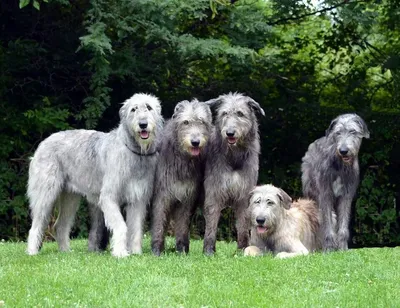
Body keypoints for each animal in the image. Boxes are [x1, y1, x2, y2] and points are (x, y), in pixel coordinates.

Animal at [26, 93, 162, 258]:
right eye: (133, 109)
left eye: (149, 107)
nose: (143, 124)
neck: (135, 151)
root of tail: (43, 142)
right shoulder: (109, 197)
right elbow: (121, 225)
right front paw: (120, 253)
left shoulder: (138, 199)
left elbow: (135, 228)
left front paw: (136, 253)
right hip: (46, 193)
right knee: (36, 224)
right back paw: (32, 252)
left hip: (70, 197)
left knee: (61, 225)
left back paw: (65, 252)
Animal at [150, 100, 212, 256]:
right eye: (186, 122)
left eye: (202, 122)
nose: (195, 142)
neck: (182, 160)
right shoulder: (162, 195)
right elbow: (159, 222)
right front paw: (156, 250)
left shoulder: (187, 197)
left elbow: (183, 225)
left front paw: (182, 250)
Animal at [203, 93, 266, 255]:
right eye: (224, 113)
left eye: (240, 114)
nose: (230, 133)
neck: (233, 156)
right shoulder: (214, 193)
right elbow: (211, 225)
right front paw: (208, 251)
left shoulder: (244, 195)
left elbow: (243, 226)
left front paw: (242, 249)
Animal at [302, 112, 370, 250]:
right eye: (338, 132)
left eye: (353, 131)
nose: (343, 150)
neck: (340, 166)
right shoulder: (325, 194)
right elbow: (327, 223)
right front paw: (329, 248)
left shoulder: (346, 195)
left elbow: (343, 222)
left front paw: (342, 247)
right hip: (310, 191)